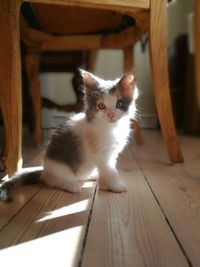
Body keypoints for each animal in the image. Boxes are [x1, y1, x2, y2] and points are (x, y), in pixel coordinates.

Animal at [0, 70, 138, 202]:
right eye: (101, 106)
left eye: (119, 104)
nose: (110, 115)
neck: (112, 128)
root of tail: (45, 170)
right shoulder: (100, 154)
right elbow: (110, 171)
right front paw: (116, 186)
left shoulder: (111, 154)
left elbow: (107, 170)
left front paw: (105, 185)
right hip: (58, 166)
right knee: (53, 181)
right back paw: (71, 184)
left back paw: (91, 176)